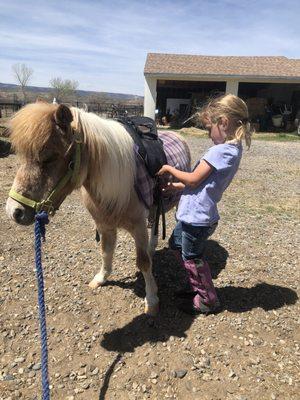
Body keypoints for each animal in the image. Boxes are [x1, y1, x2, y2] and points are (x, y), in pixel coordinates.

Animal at [5, 103, 190, 316]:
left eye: (49, 158)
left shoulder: (138, 227)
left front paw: (151, 300)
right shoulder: (104, 225)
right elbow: (105, 251)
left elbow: (143, 262)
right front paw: (101, 278)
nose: (14, 211)